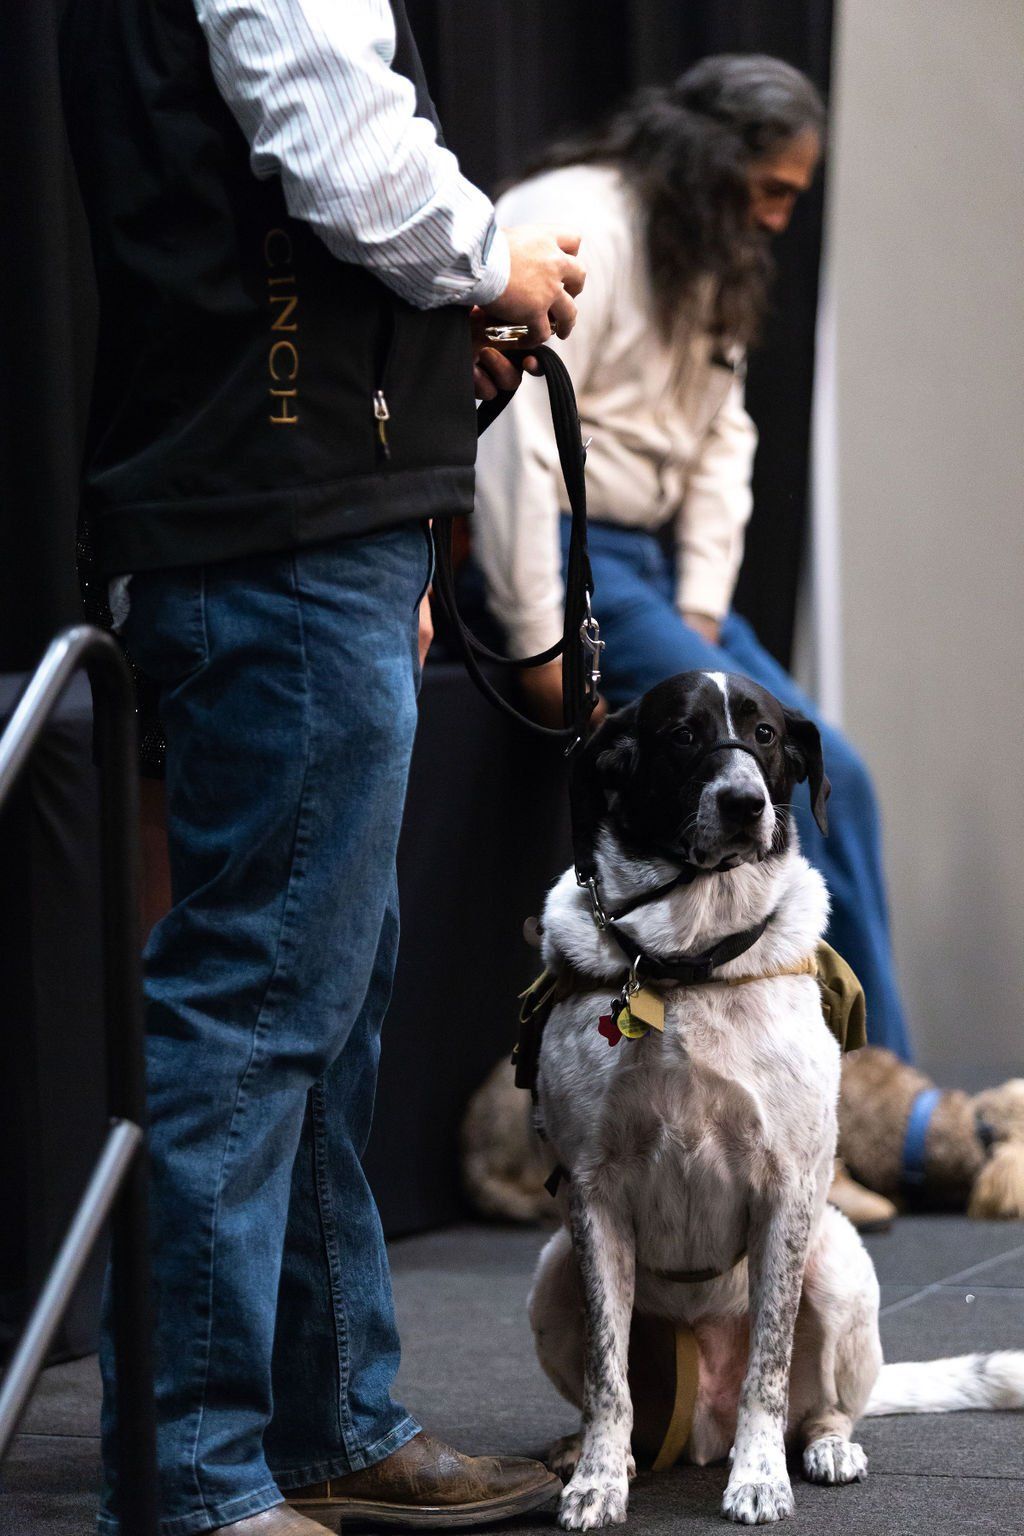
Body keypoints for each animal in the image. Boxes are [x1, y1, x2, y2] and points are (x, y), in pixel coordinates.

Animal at [527, 670, 1024, 1527]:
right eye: (683, 735)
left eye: (763, 735)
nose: (743, 803)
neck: (686, 962)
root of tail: (699, 1429)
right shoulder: (592, 1198)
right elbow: (606, 1377)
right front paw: (597, 1479)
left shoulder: (786, 1189)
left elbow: (769, 1362)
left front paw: (759, 1478)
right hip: (552, 1273)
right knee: (620, 1400)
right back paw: (589, 1451)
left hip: (839, 1266)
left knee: (822, 1404)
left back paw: (823, 1449)